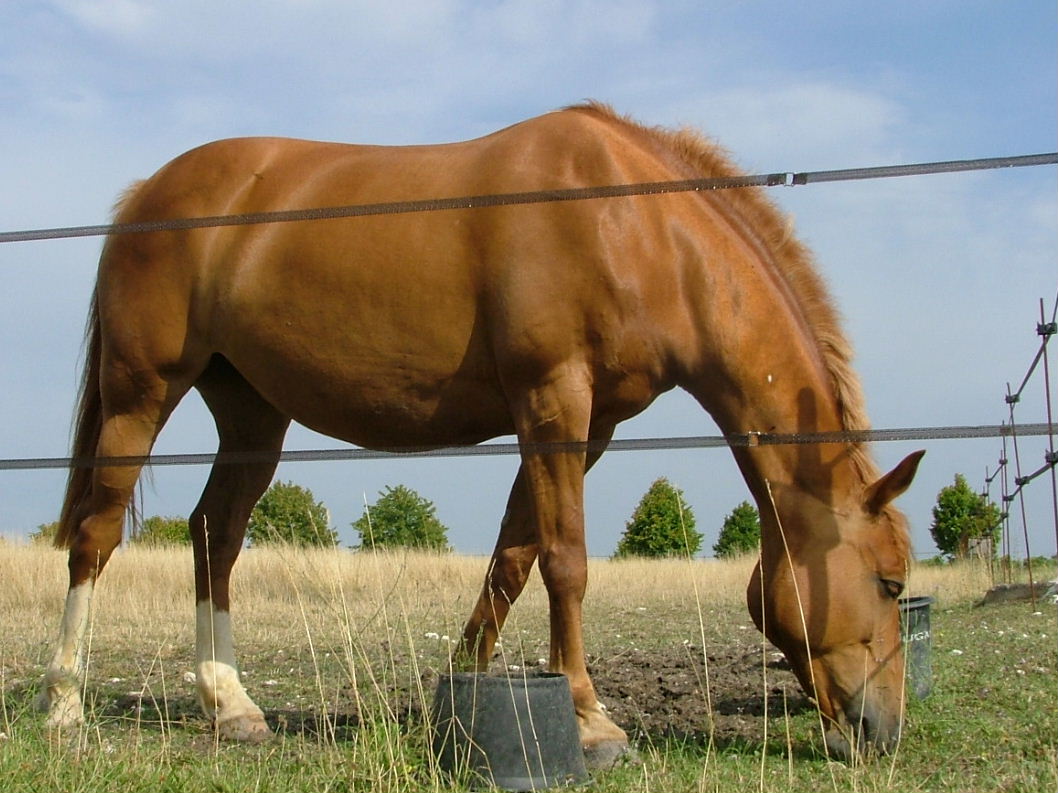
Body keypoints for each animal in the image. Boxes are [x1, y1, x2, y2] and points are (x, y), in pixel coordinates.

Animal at [39, 104, 918, 765]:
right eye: (889, 582)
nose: (883, 729)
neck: (634, 220)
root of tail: (146, 194)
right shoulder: (553, 400)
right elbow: (566, 563)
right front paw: (592, 719)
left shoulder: (587, 423)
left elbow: (514, 558)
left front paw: (459, 694)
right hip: (140, 394)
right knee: (96, 534)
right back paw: (64, 706)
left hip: (252, 412)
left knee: (214, 533)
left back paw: (230, 704)